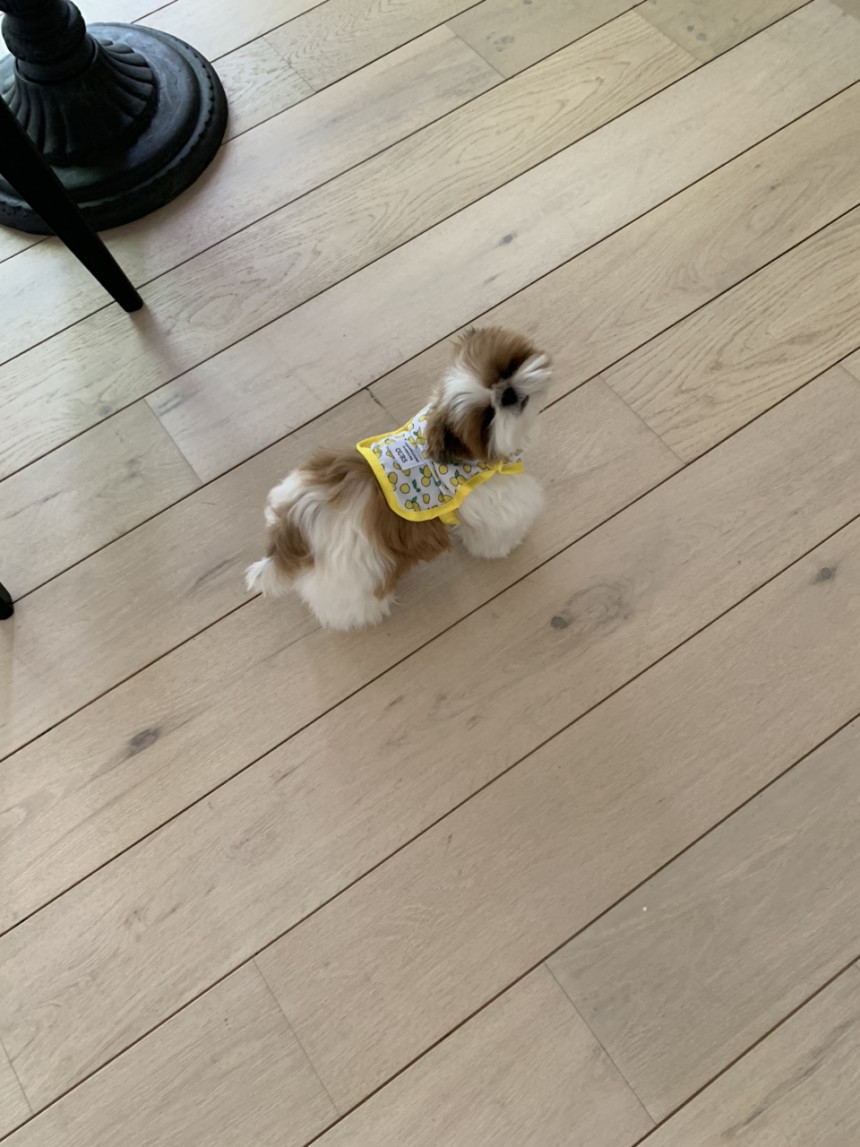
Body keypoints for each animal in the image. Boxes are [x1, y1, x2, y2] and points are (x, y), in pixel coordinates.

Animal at [245, 326, 552, 630]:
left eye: (506, 367)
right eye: (486, 419)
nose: (507, 393)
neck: (463, 456)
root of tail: (291, 526)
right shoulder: (494, 503)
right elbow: (496, 532)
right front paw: (506, 546)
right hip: (355, 575)